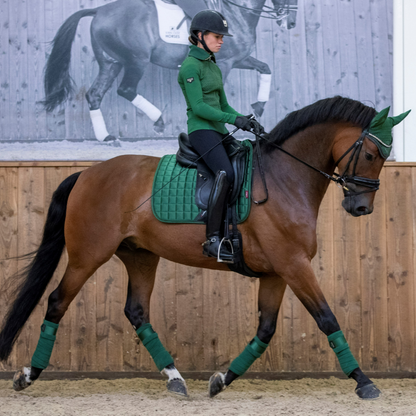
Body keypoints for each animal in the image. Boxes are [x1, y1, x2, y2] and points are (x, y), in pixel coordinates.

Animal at [0, 97, 384, 400]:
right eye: (369, 153)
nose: (361, 207)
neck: (284, 178)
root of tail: (85, 174)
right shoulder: (294, 265)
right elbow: (327, 318)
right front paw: (363, 382)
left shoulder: (277, 272)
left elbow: (265, 330)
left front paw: (221, 380)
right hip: (87, 256)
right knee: (57, 302)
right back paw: (28, 375)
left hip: (140, 256)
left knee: (137, 311)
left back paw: (175, 379)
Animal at [41, 0, 296, 141]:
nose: (290, 23)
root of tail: (100, 10)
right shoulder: (225, 62)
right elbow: (215, 100)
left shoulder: (237, 59)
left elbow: (265, 67)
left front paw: (259, 106)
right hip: (136, 60)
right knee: (126, 89)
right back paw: (159, 121)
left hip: (111, 63)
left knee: (95, 94)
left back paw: (106, 137)